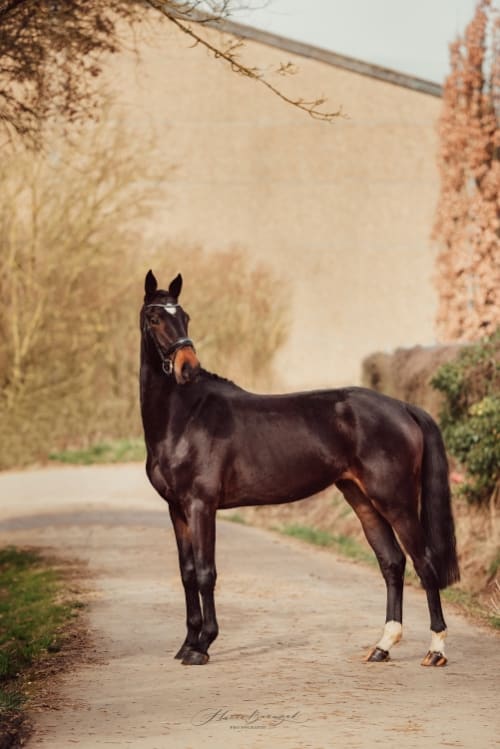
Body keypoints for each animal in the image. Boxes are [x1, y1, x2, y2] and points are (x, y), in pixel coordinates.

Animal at [140, 270, 460, 667]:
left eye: (184, 316)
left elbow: (204, 572)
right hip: (362, 500)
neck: (184, 417)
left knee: (424, 563)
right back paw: (382, 646)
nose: (188, 368)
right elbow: (186, 574)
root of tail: (403, 407)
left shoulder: (202, 505)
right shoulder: (177, 509)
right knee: (392, 562)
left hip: (396, 501)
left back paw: (436, 650)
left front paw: (202, 646)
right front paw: (187, 644)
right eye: (156, 317)